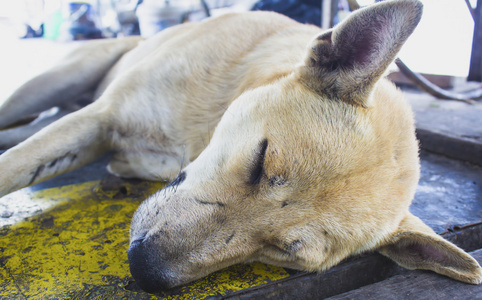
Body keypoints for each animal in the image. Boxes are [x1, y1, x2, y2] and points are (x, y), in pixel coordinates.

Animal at [0, 0, 480, 292]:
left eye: (286, 250)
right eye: (260, 162)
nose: (144, 270)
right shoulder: (101, 117)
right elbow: (13, 168)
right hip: (51, 82)